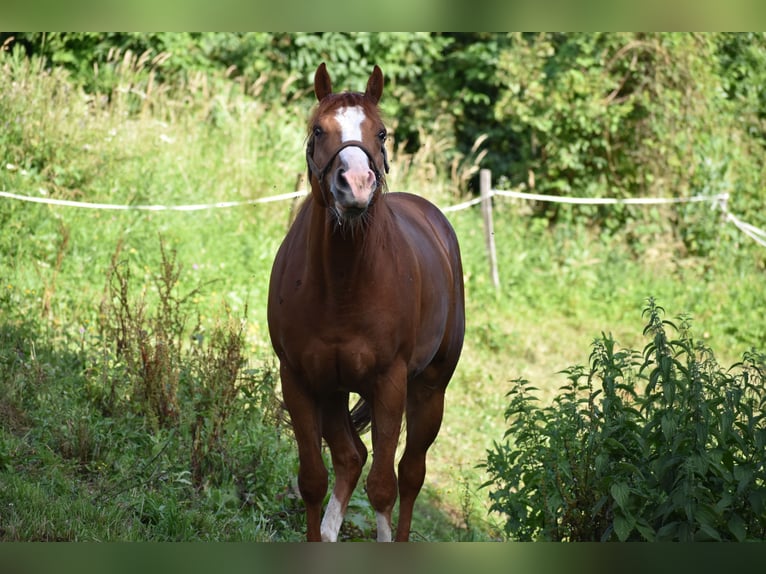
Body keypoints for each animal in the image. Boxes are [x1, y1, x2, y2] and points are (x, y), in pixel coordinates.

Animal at [268, 64, 464, 544]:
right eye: (319, 130)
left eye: (382, 133)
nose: (355, 185)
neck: (342, 286)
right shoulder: (300, 380)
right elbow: (313, 480)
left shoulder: (389, 383)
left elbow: (383, 489)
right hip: (335, 392)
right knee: (351, 456)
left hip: (429, 390)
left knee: (410, 474)